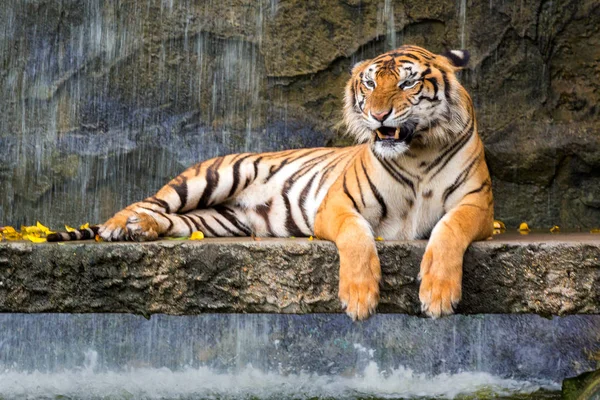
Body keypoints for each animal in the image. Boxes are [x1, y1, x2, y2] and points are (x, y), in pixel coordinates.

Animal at [49, 45, 492, 320]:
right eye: (369, 84)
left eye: (407, 83)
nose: (379, 115)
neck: (416, 152)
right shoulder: (339, 205)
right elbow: (357, 238)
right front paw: (359, 298)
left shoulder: (477, 206)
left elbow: (449, 231)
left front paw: (438, 295)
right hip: (212, 177)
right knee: (151, 201)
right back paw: (120, 226)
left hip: (215, 221)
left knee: (175, 221)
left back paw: (142, 230)